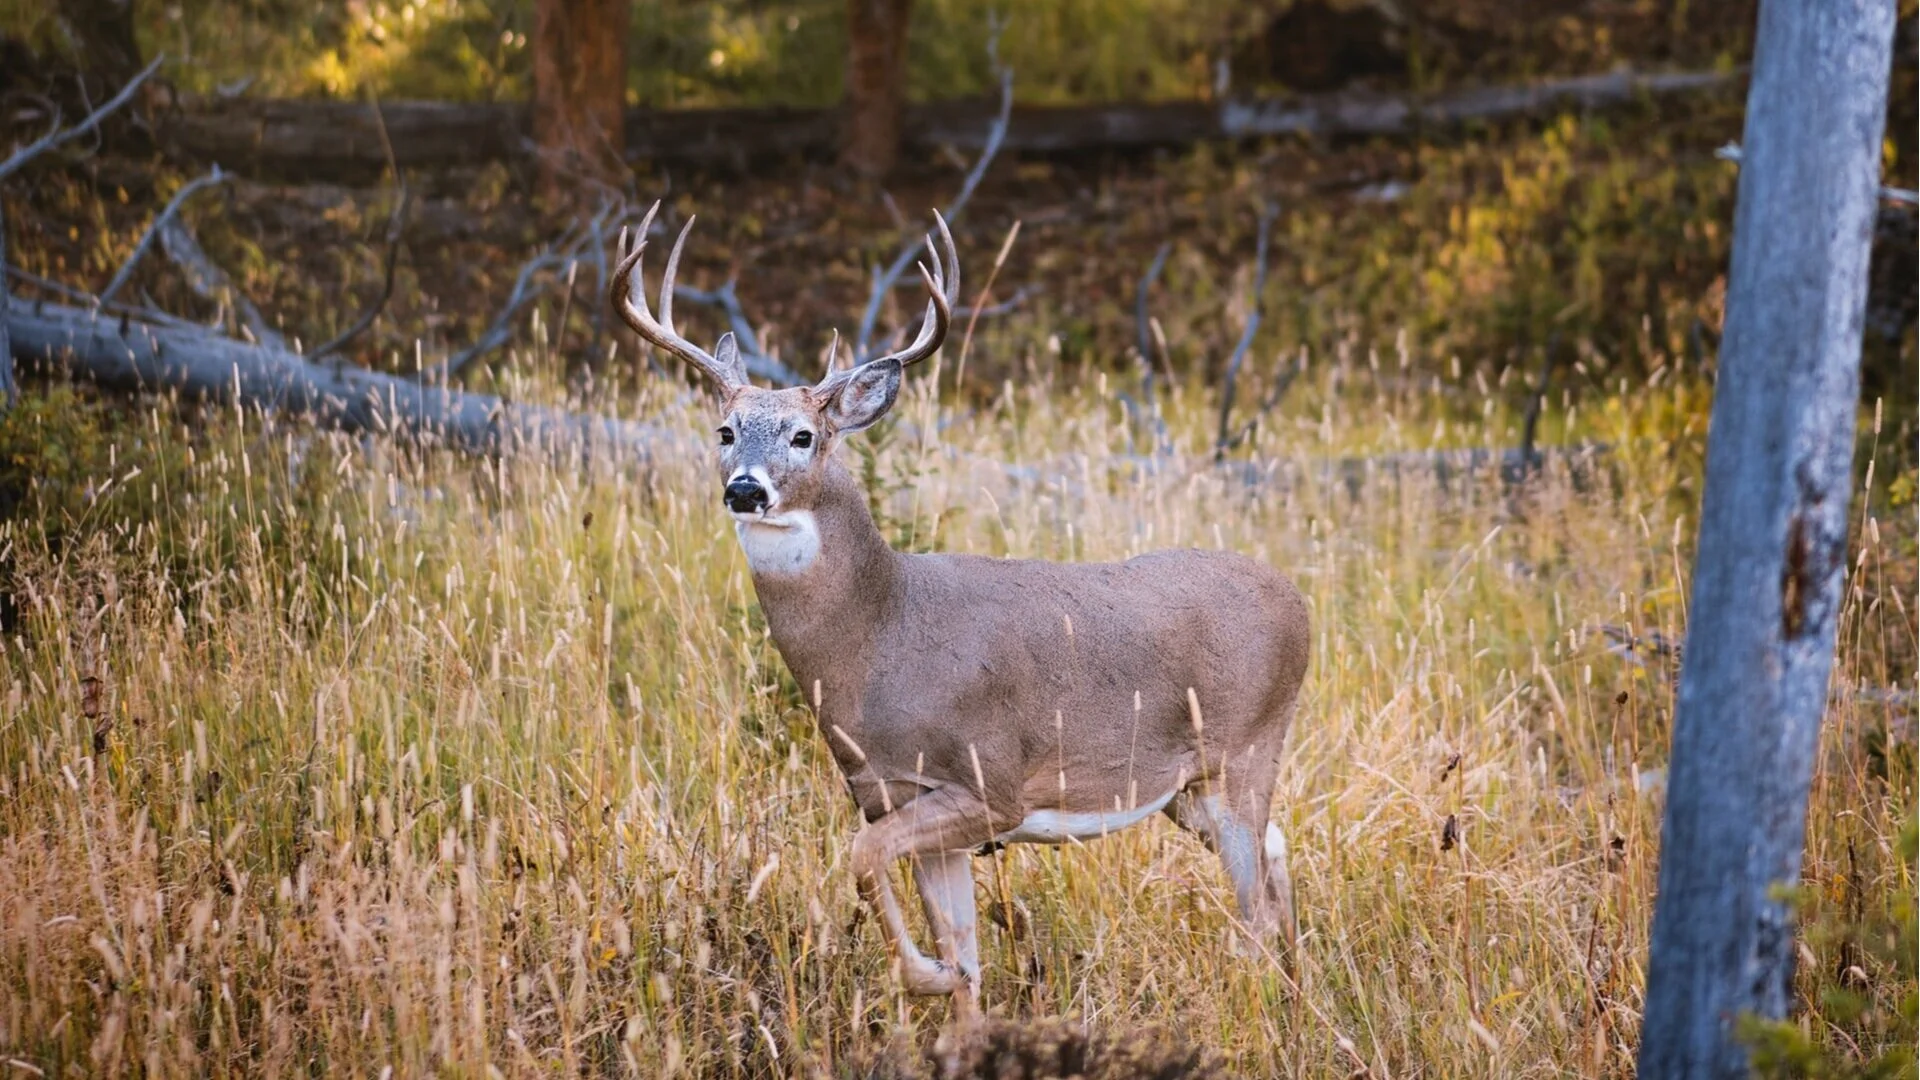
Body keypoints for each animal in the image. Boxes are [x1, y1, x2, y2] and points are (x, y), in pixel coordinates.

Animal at [612, 202, 1311, 1017]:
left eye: (804, 435)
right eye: (725, 432)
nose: (746, 488)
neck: (879, 637)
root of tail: (1300, 602)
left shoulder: (989, 783)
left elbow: (865, 862)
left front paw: (925, 976)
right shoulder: (891, 795)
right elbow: (962, 945)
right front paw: (956, 999)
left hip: (1246, 747)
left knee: (1254, 903)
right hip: (1186, 787)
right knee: (1278, 856)